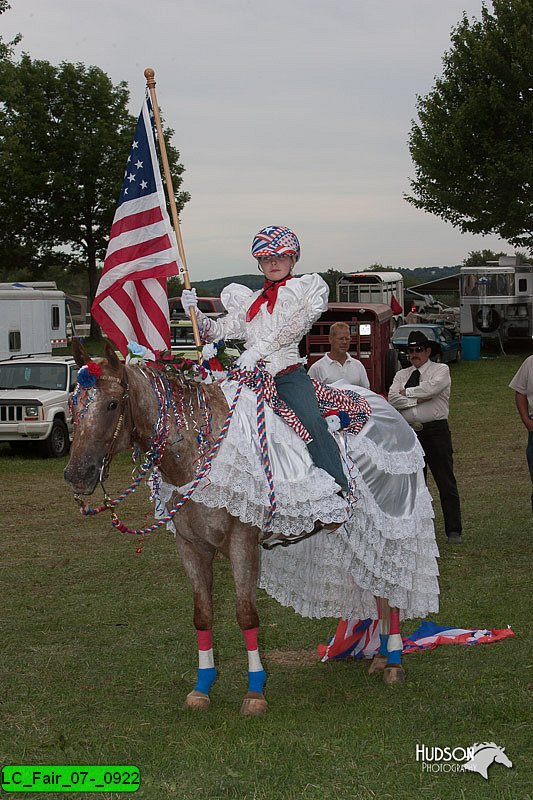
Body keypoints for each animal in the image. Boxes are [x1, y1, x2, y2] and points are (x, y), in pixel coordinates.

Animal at [65, 340, 432, 716]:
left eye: (112, 404)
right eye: (73, 404)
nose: (77, 474)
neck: (201, 452)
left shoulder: (242, 543)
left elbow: (246, 615)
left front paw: (255, 692)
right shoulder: (191, 546)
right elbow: (202, 616)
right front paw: (201, 687)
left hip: (393, 528)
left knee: (392, 590)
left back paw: (393, 662)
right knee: (378, 589)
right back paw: (380, 656)